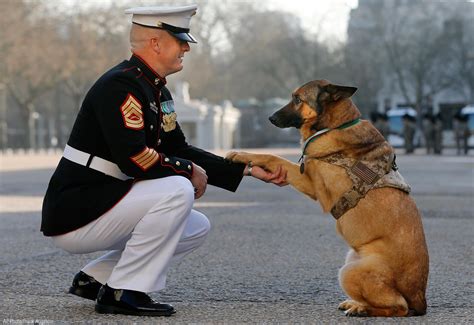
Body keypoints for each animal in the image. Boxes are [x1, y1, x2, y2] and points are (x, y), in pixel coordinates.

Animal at [227, 79, 430, 316]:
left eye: (298, 99)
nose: (270, 117)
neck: (335, 125)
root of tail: (420, 299)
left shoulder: (311, 183)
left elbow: (273, 157)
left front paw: (241, 154)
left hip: (350, 271)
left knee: (399, 307)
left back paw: (363, 309)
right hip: (350, 259)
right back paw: (356, 303)